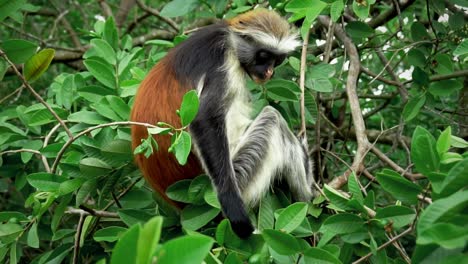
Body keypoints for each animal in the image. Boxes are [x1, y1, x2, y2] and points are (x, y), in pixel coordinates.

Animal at [130, 9, 316, 238]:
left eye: (277, 60)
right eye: (264, 56)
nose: (269, 72)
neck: (229, 39)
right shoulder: (222, 63)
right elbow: (204, 118)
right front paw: (234, 210)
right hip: (241, 174)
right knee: (272, 119)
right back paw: (307, 194)